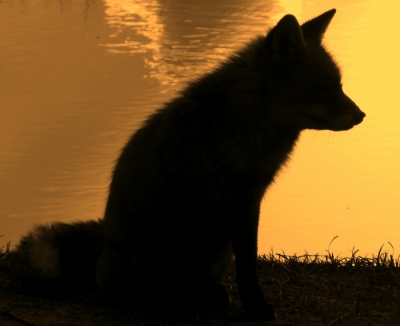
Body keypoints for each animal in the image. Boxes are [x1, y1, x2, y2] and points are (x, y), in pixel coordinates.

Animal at [12, 8, 364, 320]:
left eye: (340, 84)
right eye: (325, 88)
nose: (361, 115)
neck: (239, 135)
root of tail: (104, 242)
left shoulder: (247, 203)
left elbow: (248, 268)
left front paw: (254, 308)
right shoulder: (191, 204)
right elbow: (185, 271)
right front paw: (183, 309)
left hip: (219, 249)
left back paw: (210, 295)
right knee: (146, 289)